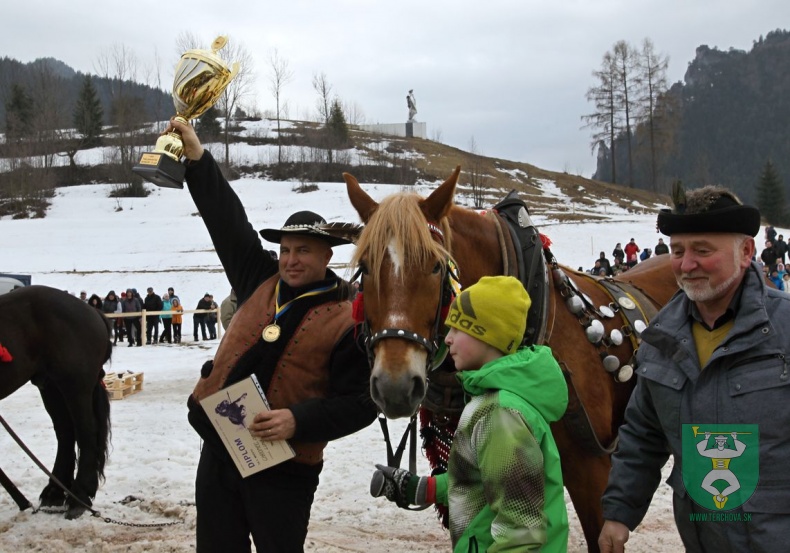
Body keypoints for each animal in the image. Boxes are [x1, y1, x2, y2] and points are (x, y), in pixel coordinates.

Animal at [0, 284, 113, 516]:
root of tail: (91, 310)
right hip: (50, 385)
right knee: (65, 433)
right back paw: (55, 492)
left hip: (75, 386)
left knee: (86, 432)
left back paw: (79, 496)